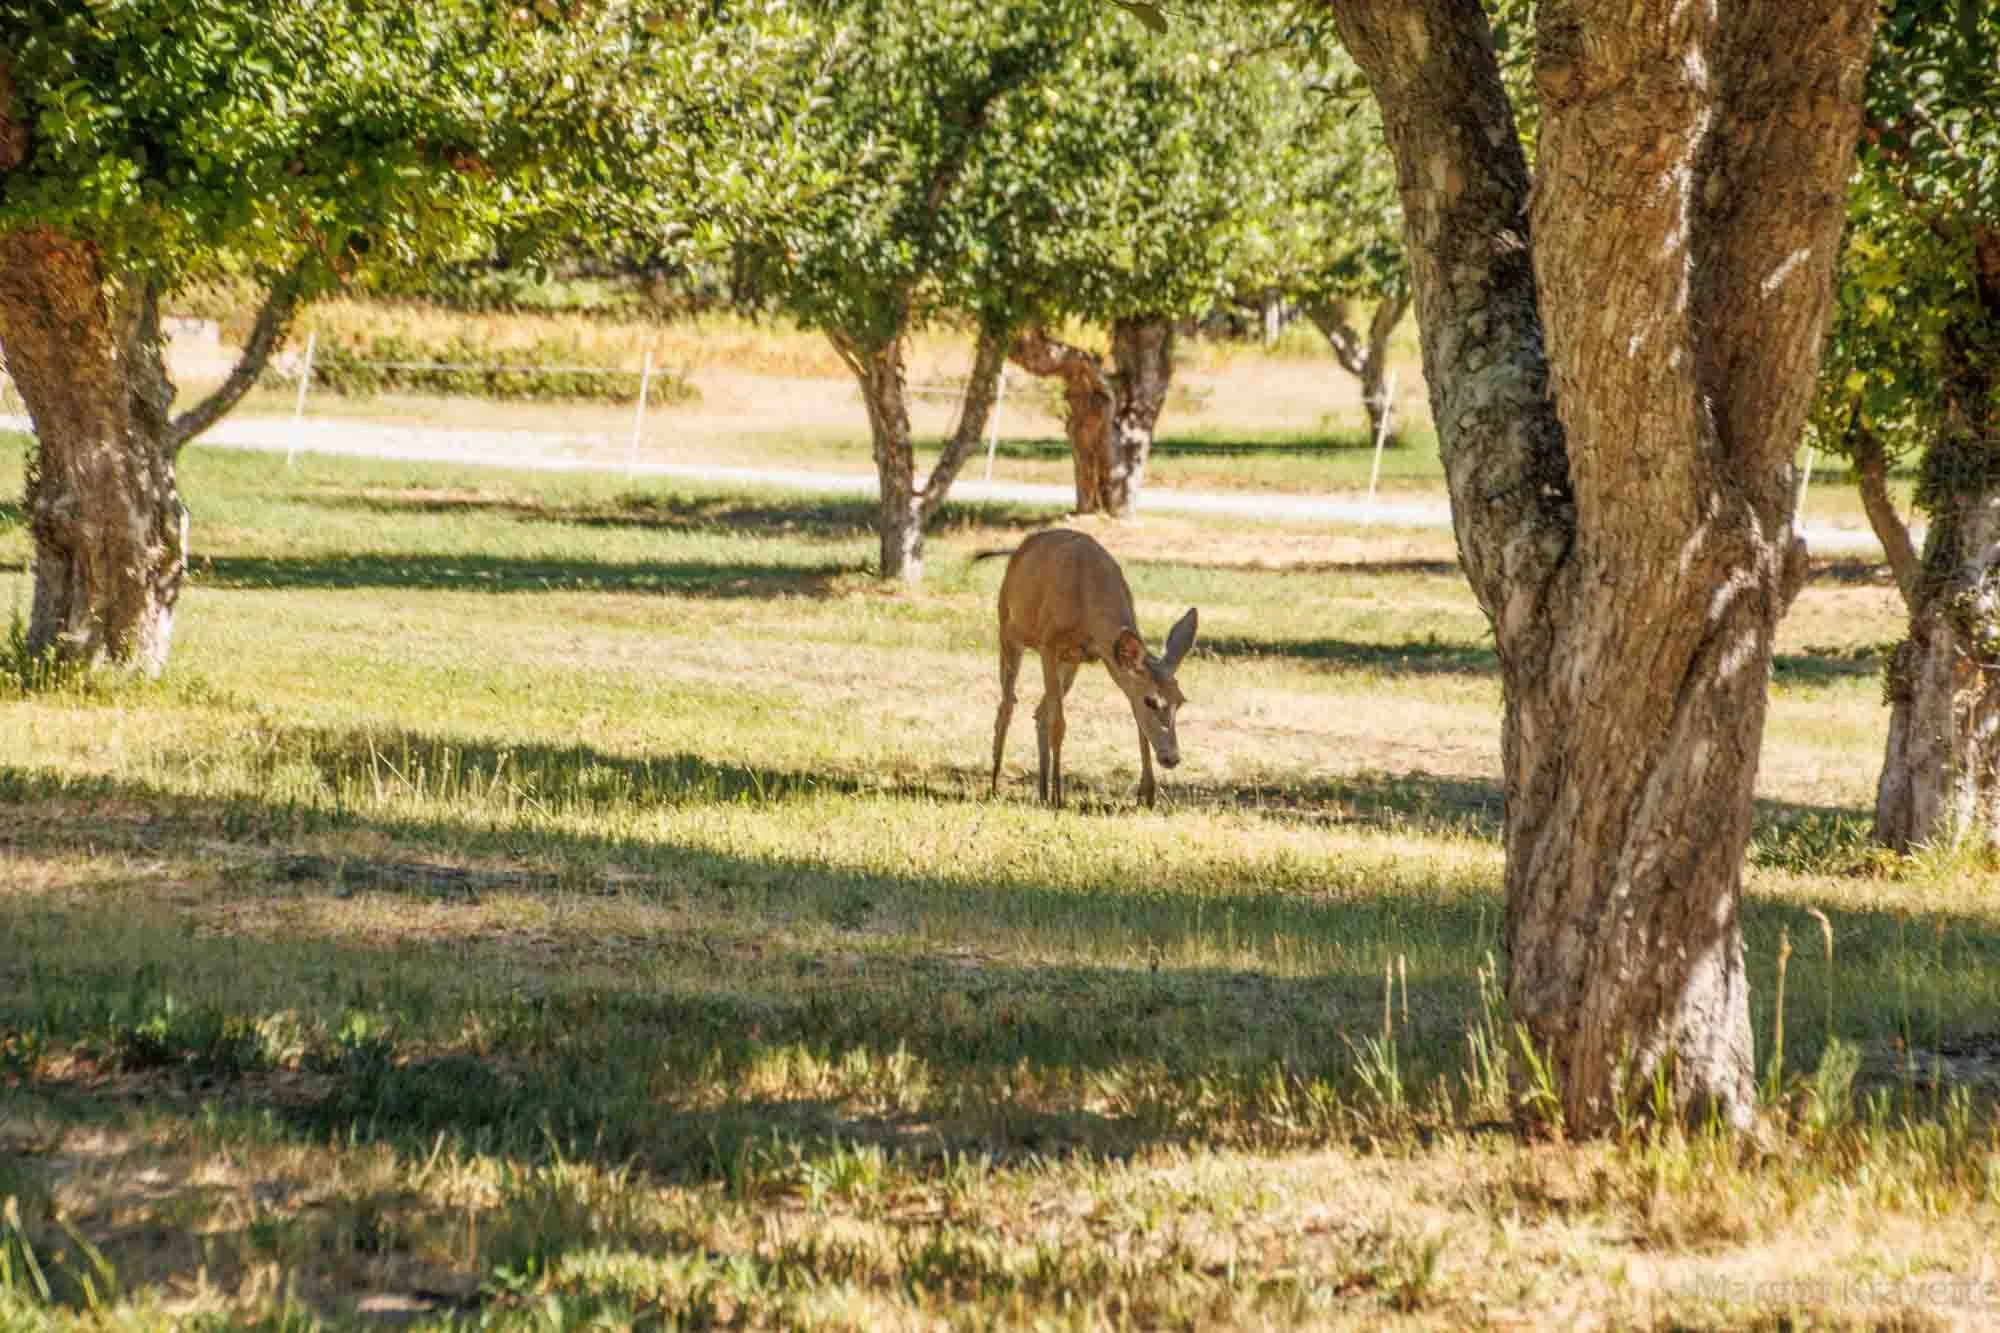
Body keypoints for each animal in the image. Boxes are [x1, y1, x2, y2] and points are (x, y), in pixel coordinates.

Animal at [977, 529, 1198, 808]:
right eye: (1151, 700)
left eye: (1180, 701)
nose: (1172, 758)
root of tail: (1020, 548)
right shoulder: (1048, 643)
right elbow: (1059, 724)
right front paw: (1058, 797)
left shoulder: (1102, 655)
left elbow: (1137, 723)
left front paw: (1147, 795)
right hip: (1008, 630)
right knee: (1007, 706)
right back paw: (996, 786)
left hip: (1069, 662)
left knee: (1039, 712)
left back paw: (1041, 791)